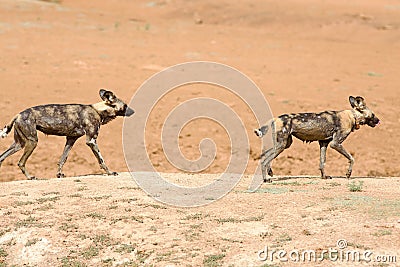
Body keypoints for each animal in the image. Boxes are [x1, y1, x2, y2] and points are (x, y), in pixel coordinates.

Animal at [0, 89, 134, 180]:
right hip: (32, 142)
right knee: (21, 162)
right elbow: (101, 160)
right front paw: (110, 172)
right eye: (125, 106)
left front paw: (59, 174)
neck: (98, 110)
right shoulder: (91, 141)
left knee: (2, 157)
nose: (133, 111)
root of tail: (18, 114)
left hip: (19, 144)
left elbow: (62, 159)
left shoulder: (70, 139)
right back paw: (30, 177)